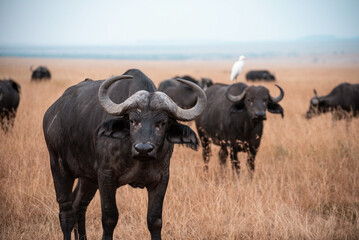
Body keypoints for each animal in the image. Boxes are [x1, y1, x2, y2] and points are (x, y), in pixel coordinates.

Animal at [43, 68, 205, 239]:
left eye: (162, 123)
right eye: (132, 121)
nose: (143, 149)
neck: (138, 160)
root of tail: (51, 113)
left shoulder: (161, 179)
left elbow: (155, 220)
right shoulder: (106, 176)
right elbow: (109, 218)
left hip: (88, 178)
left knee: (78, 206)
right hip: (59, 167)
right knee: (66, 212)